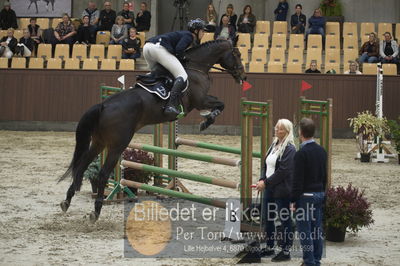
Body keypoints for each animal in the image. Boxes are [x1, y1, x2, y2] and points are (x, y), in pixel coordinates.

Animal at [59, 40, 247, 222]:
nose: (243, 76)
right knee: (103, 173)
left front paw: (207, 118)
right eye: (237, 54)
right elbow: (220, 104)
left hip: (99, 142)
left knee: (82, 165)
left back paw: (67, 201)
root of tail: (103, 105)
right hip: (118, 145)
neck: (196, 66)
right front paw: (207, 121)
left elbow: (219, 104)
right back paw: (96, 211)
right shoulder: (200, 100)